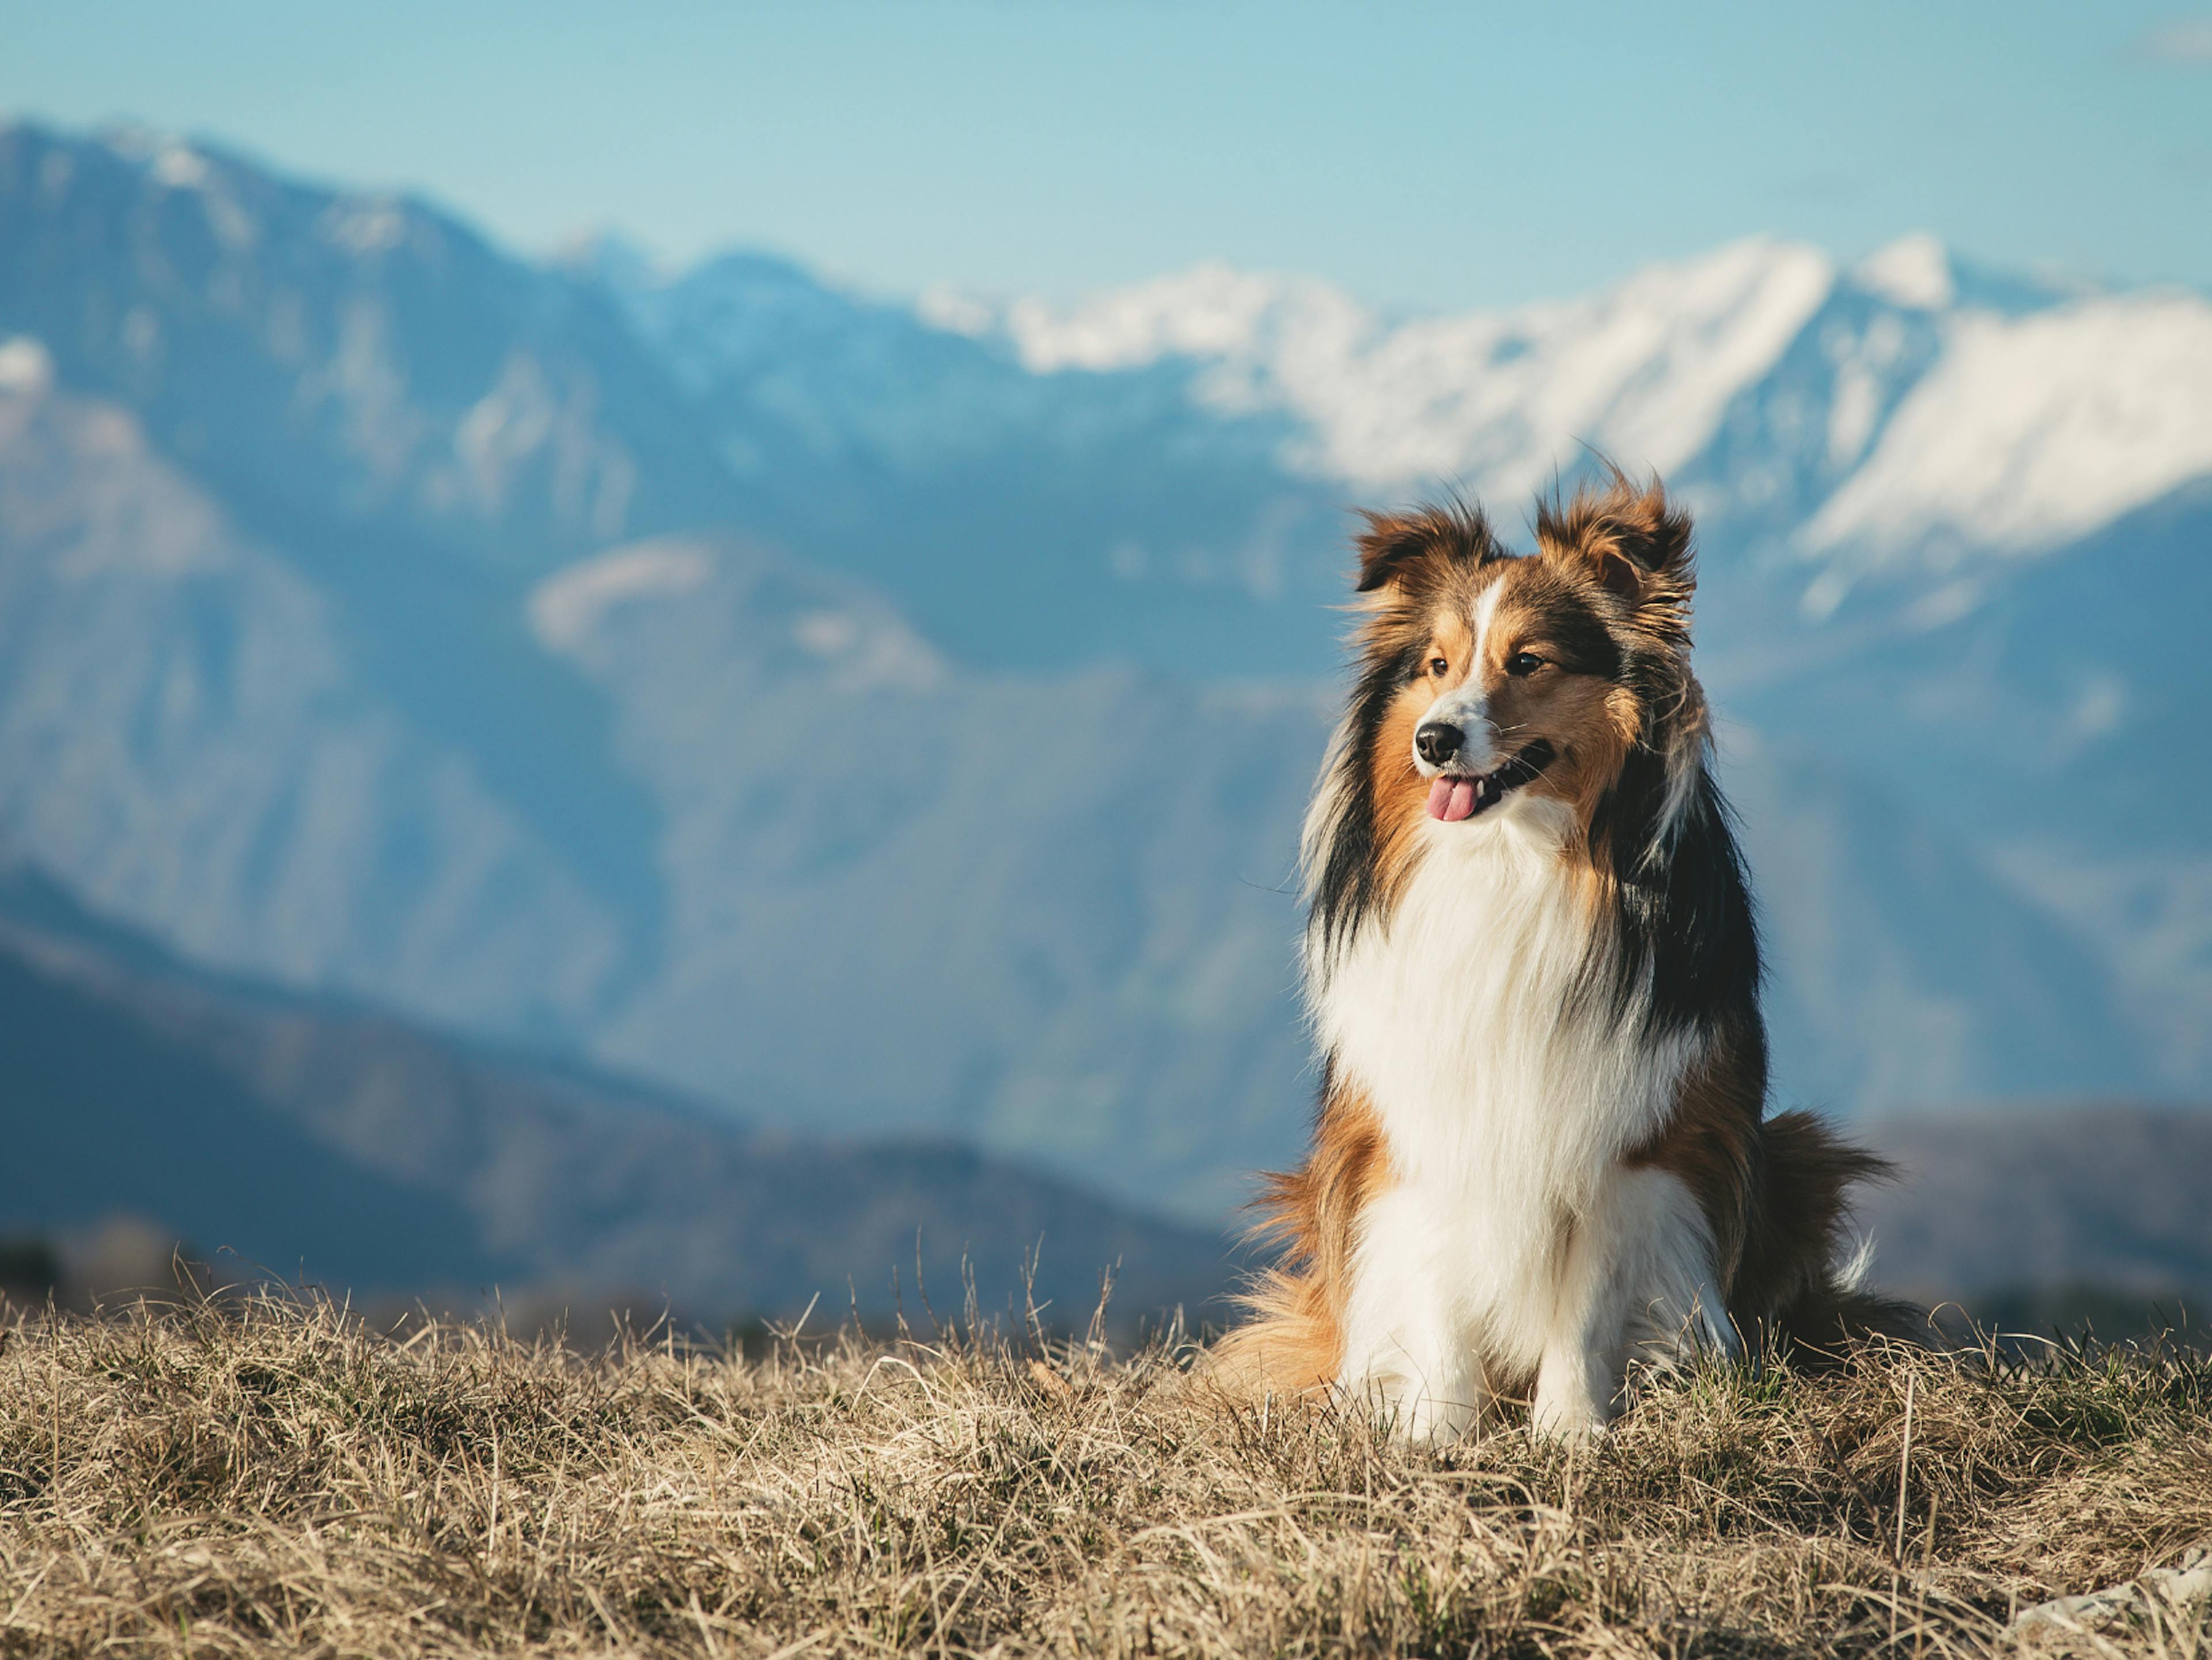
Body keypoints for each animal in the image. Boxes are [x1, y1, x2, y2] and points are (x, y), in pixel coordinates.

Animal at [1212, 471, 1902, 1443]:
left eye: (1530, 661)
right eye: (1436, 665)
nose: (1433, 740)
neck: (1513, 861)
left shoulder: (1631, 1143)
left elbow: (1584, 1310)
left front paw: (1571, 1435)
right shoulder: (1416, 1134)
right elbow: (1439, 1301)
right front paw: (1437, 1438)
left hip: (1799, 1153)